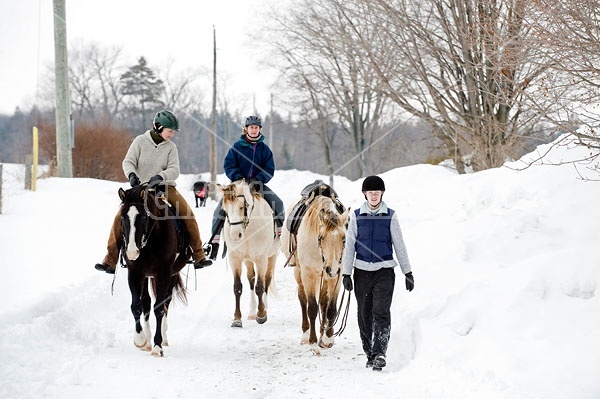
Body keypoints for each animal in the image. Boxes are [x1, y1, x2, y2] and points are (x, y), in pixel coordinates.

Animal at [118, 186, 190, 358]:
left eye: (144, 216)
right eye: (123, 216)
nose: (131, 252)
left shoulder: (163, 273)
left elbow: (159, 308)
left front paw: (158, 345)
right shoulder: (135, 273)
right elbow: (136, 305)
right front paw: (140, 339)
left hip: (171, 275)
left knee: (166, 301)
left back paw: (163, 337)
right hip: (146, 276)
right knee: (146, 302)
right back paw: (148, 340)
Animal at [217, 180, 280, 328]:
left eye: (242, 207)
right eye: (225, 210)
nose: (235, 235)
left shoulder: (261, 259)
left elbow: (260, 287)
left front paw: (261, 315)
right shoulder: (235, 258)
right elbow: (238, 287)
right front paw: (237, 319)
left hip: (272, 256)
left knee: (267, 280)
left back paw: (264, 307)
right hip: (248, 260)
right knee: (251, 278)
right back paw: (252, 312)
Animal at [282, 196, 352, 350]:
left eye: (344, 239)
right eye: (321, 238)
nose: (332, 268)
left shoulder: (336, 277)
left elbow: (331, 308)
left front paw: (328, 339)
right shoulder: (308, 275)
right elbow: (312, 308)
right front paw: (312, 340)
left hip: (324, 277)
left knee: (324, 303)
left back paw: (322, 332)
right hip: (299, 272)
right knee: (303, 300)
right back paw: (305, 335)